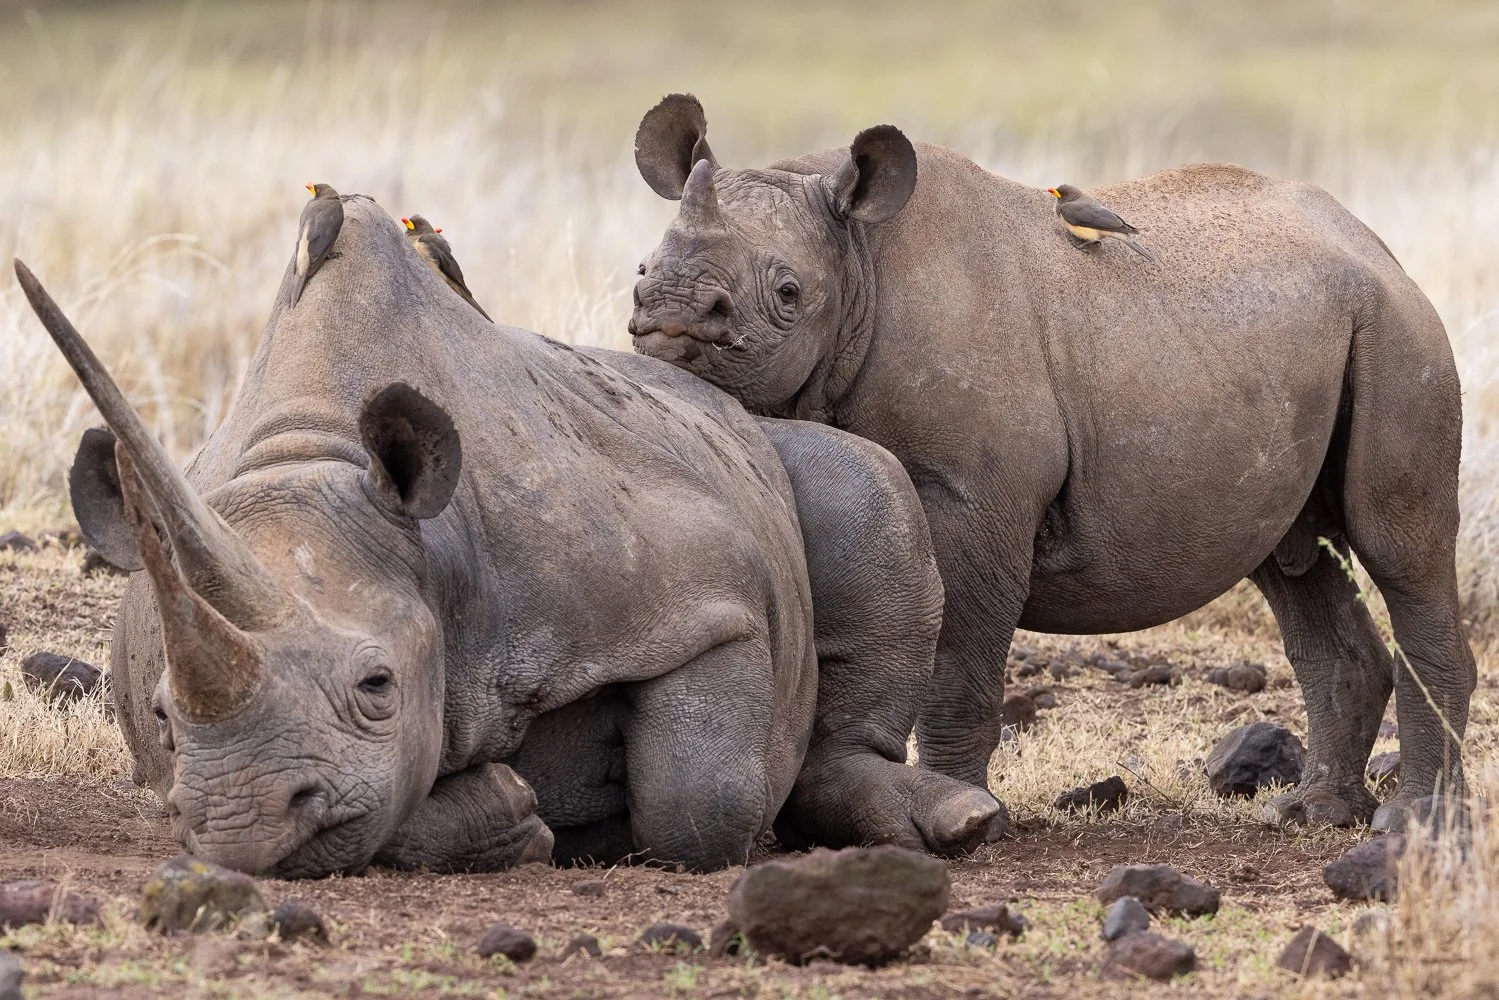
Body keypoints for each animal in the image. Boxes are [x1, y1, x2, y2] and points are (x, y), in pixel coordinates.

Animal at [14, 195, 1003, 878]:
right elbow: (387, 807)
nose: (245, 826)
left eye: (377, 687)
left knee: (869, 487)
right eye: (161, 716)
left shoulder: (697, 597)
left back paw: (955, 823)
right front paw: (515, 815)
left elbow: (699, 801)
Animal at [628, 94, 1476, 832]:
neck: (856, 260)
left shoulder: (971, 500)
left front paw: (975, 819)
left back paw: (1415, 823)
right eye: (640, 269)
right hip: (1305, 336)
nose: (668, 310)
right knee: (1292, 561)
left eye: (787, 293)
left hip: (1399, 330)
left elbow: (957, 665)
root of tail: (1375, 246)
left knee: (1400, 549)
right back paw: (1311, 813)